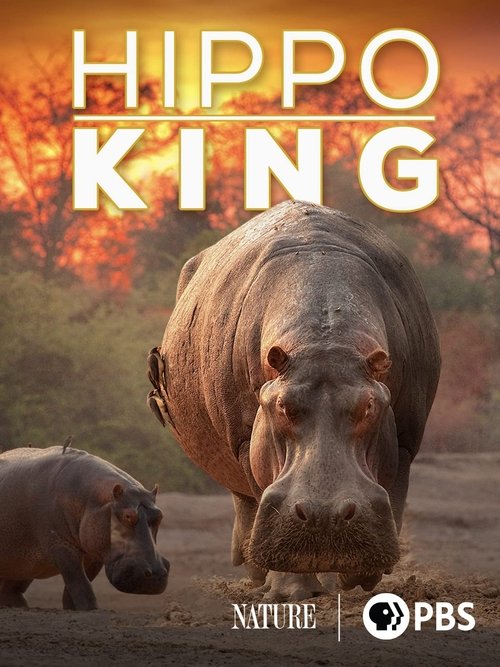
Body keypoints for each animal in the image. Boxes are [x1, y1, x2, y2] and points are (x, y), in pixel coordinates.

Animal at [0, 445, 169, 610]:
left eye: (160, 515)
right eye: (128, 516)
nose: (156, 573)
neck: (91, 498)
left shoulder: (94, 552)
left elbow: (76, 587)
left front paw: (73, 609)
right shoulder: (61, 545)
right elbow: (79, 582)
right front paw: (90, 608)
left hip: (23, 566)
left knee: (11, 591)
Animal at [148, 201, 440, 600]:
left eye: (369, 406)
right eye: (282, 406)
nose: (324, 516)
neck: (324, 341)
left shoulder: (406, 439)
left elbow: (393, 499)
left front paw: (357, 577)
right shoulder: (246, 438)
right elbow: (261, 491)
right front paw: (291, 592)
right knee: (246, 503)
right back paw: (258, 573)